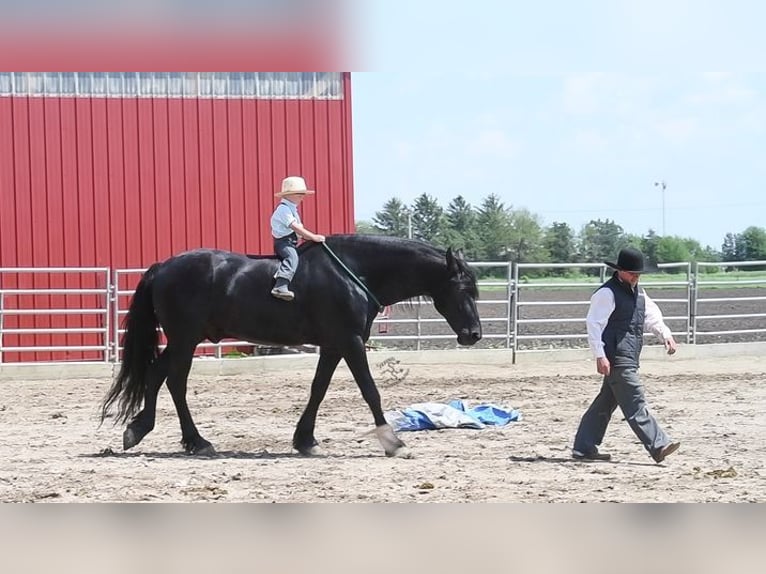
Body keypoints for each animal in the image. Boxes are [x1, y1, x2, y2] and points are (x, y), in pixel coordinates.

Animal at [102, 234, 484, 460]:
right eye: (462, 288)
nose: (474, 334)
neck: (355, 273)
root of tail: (163, 267)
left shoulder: (333, 346)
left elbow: (318, 389)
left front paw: (305, 440)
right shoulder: (351, 342)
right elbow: (370, 390)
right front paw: (393, 441)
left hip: (185, 340)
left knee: (162, 378)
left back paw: (158, 433)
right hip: (185, 338)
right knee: (171, 381)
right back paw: (180, 437)